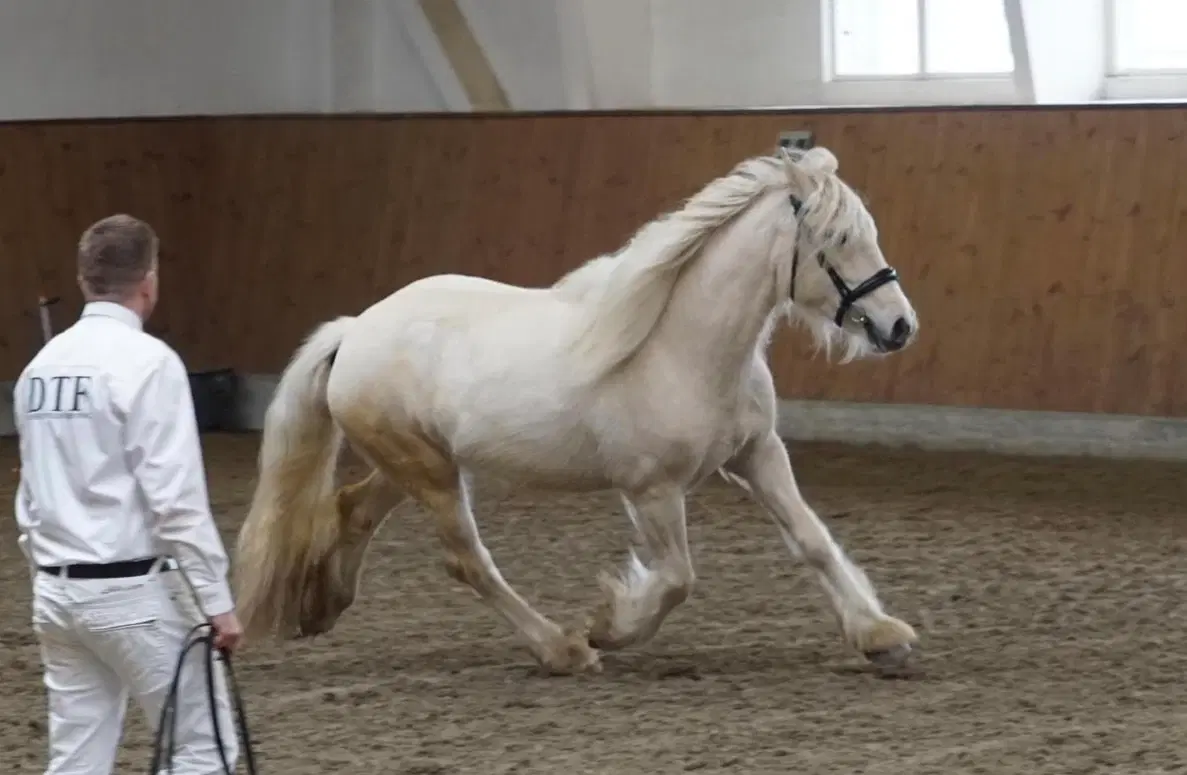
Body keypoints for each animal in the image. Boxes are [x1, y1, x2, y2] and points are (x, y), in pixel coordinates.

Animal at [231, 143, 916, 669]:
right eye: (837, 239)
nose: (900, 327)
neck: (682, 348)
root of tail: (355, 331)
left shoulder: (756, 455)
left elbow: (812, 539)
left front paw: (880, 635)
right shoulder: (651, 490)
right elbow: (677, 579)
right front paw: (609, 628)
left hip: (418, 465)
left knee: (353, 509)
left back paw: (323, 606)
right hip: (430, 473)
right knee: (467, 561)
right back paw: (562, 650)